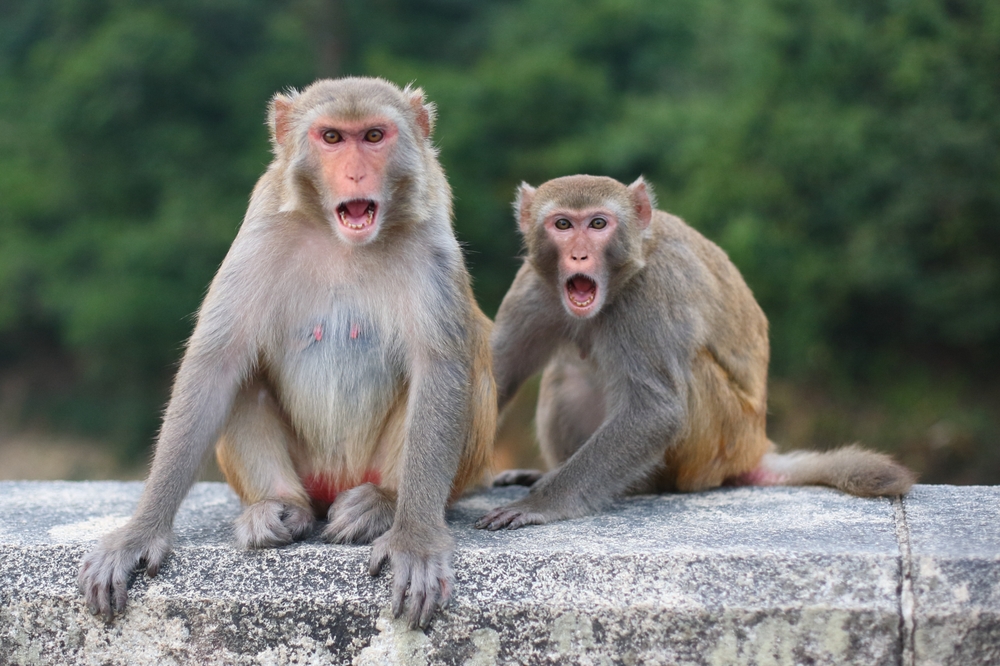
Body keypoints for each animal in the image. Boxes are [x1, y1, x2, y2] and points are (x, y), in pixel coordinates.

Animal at [79, 77, 496, 629]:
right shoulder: (259, 235)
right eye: (332, 138)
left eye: (374, 135)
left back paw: (382, 504)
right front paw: (140, 532)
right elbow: (215, 364)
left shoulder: (432, 242)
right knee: (244, 375)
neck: (342, 240)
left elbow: (441, 369)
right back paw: (280, 507)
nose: (356, 172)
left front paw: (416, 541)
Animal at [476, 175, 914, 531]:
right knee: (566, 376)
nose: (579, 256)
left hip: (718, 441)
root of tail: (754, 447)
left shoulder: (648, 294)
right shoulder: (531, 288)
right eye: (563, 224)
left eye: (598, 224)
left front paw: (542, 504)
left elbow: (656, 411)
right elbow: (497, 375)